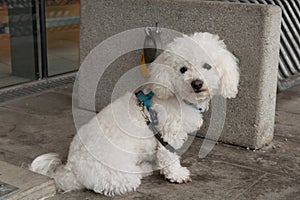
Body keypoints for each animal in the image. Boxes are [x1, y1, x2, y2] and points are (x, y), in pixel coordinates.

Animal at [29, 32, 238, 196]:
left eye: (207, 66)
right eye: (183, 69)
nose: (197, 83)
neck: (177, 96)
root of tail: (70, 170)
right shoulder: (167, 136)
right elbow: (169, 157)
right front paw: (177, 174)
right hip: (117, 175)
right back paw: (143, 169)